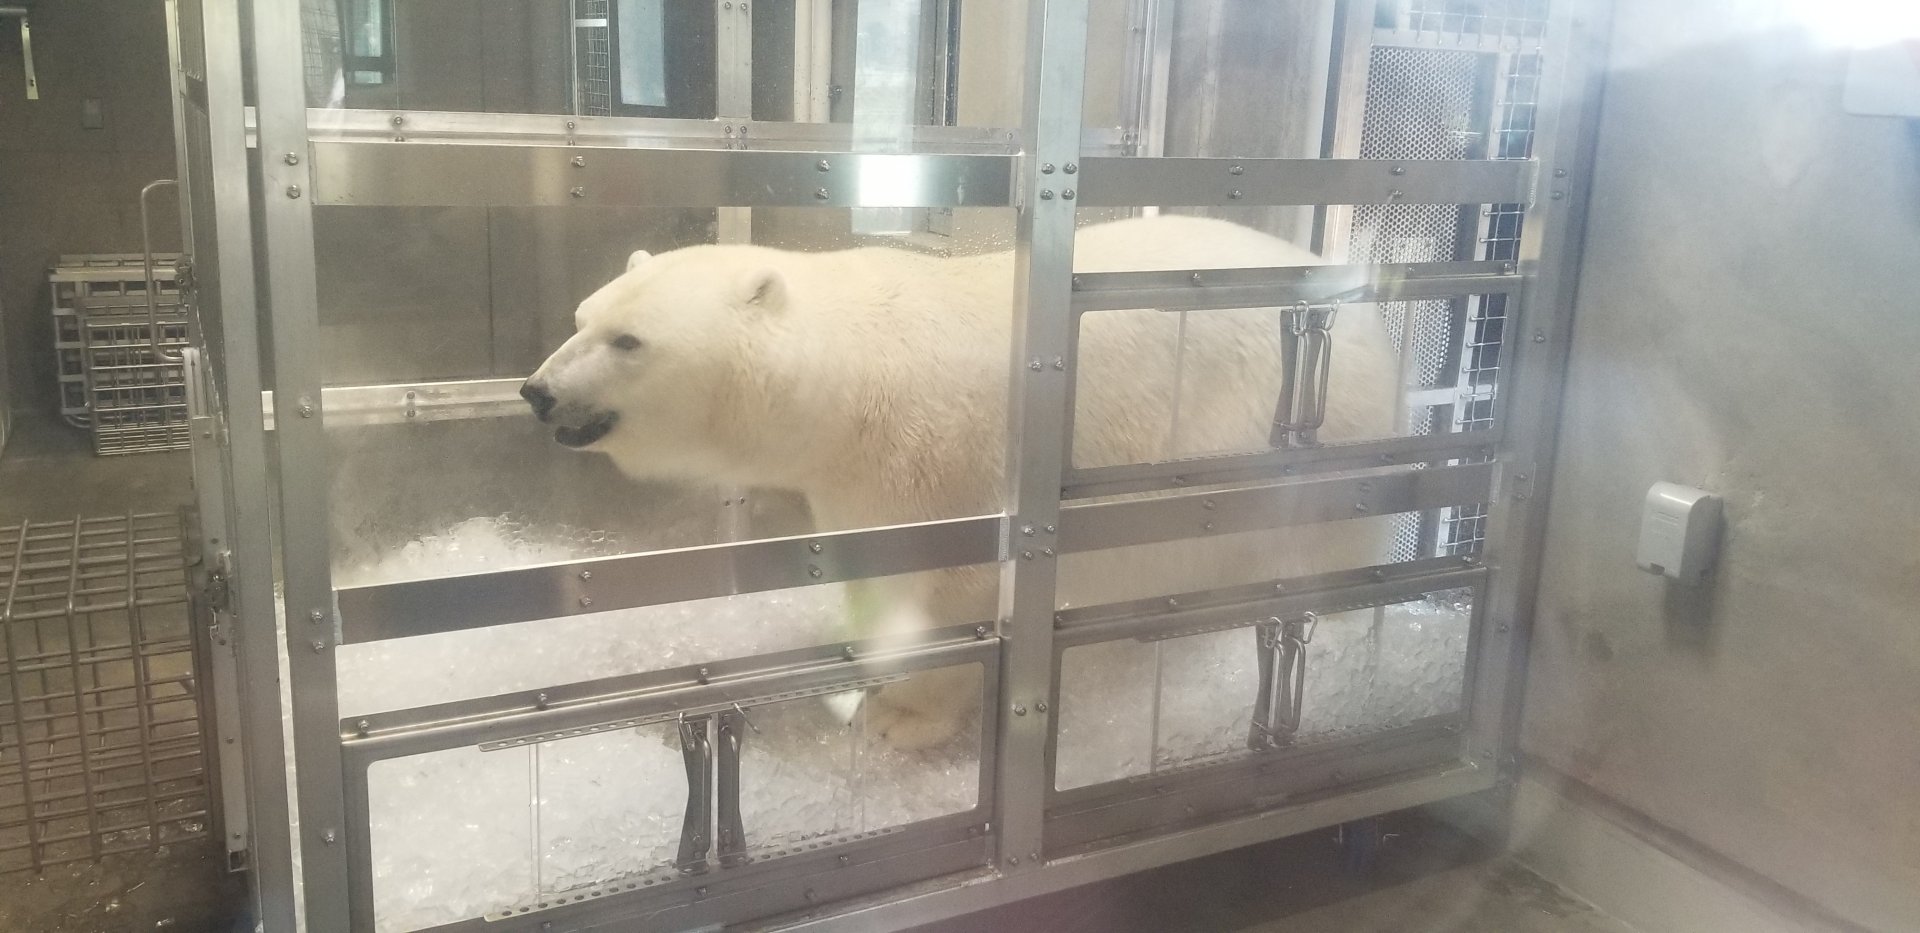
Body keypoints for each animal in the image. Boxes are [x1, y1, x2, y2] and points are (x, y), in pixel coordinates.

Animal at [522, 214, 1401, 750]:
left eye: (629, 340)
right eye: (582, 316)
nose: (537, 391)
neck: (848, 378)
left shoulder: (935, 454)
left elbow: (947, 589)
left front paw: (900, 718)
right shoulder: (850, 477)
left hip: (1306, 438)